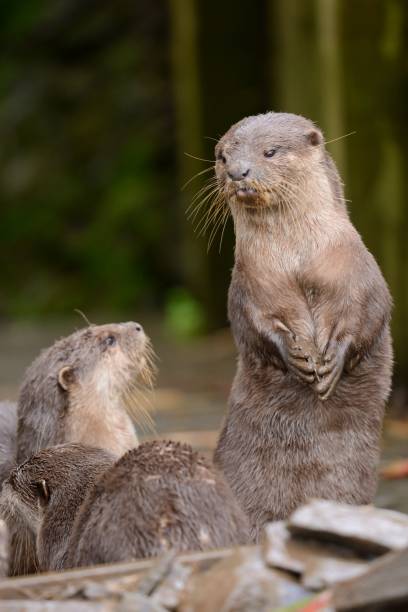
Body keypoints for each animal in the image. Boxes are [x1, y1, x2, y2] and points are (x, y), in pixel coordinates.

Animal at [210, 111, 392, 540]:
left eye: (270, 151)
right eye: (223, 156)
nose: (238, 172)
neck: (297, 261)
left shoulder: (358, 273)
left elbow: (368, 316)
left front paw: (331, 363)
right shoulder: (249, 286)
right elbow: (253, 327)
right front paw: (295, 358)